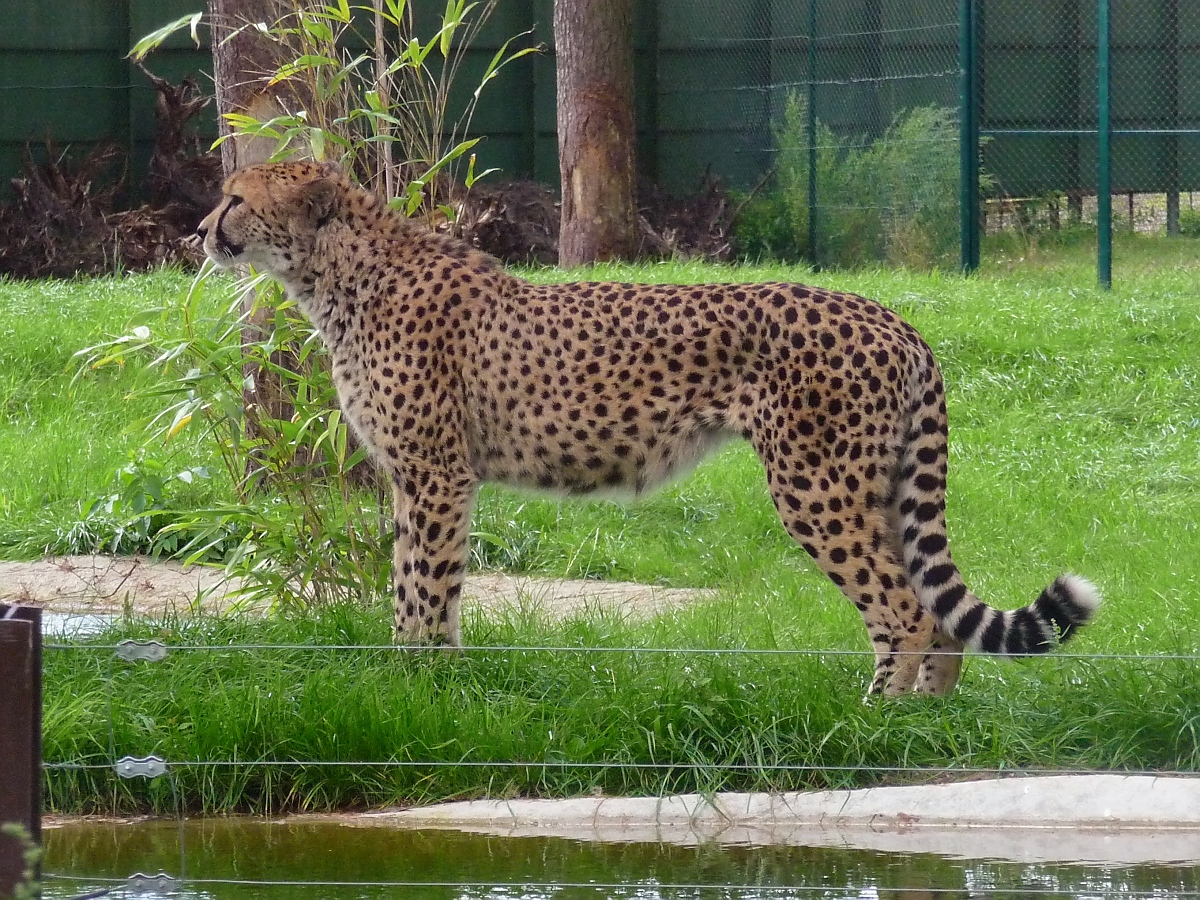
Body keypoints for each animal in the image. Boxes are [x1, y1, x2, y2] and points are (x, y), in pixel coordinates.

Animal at [194, 162, 1099, 696]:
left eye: (238, 198)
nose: (198, 231)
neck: (337, 276)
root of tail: (892, 316)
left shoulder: (434, 474)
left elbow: (421, 584)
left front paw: (413, 685)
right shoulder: (433, 478)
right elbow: (430, 586)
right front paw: (434, 685)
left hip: (815, 485)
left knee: (905, 610)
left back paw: (875, 726)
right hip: (873, 484)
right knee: (935, 613)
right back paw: (927, 727)